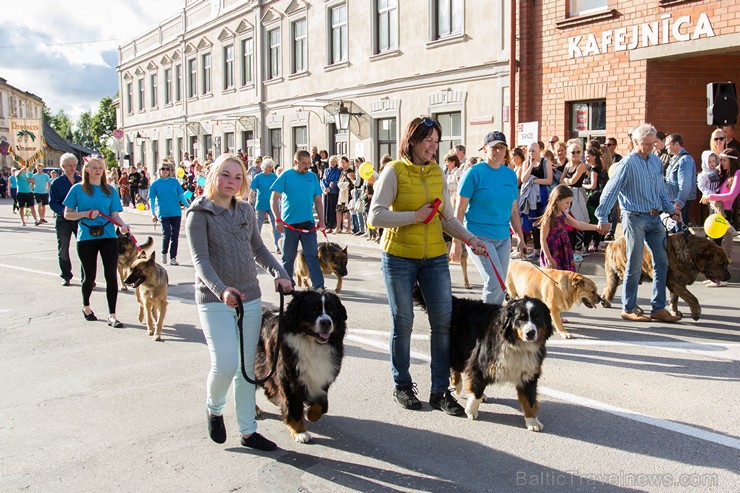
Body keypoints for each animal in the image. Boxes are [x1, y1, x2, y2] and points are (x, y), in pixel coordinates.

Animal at [254, 288, 346, 442]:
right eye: (313, 310)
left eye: (331, 310)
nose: (326, 322)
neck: (312, 344)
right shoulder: (290, 379)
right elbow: (294, 408)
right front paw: (299, 432)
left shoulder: (323, 376)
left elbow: (322, 405)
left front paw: (310, 414)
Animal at [604, 234, 732, 320]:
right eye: (721, 264)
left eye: (726, 263)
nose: (729, 277)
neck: (690, 254)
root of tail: (612, 243)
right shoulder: (675, 283)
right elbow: (692, 298)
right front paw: (696, 313)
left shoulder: (678, 283)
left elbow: (674, 299)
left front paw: (674, 312)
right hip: (631, 271)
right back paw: (634, 310)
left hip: (628, 275)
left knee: (609, 285)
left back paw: (605, 301)